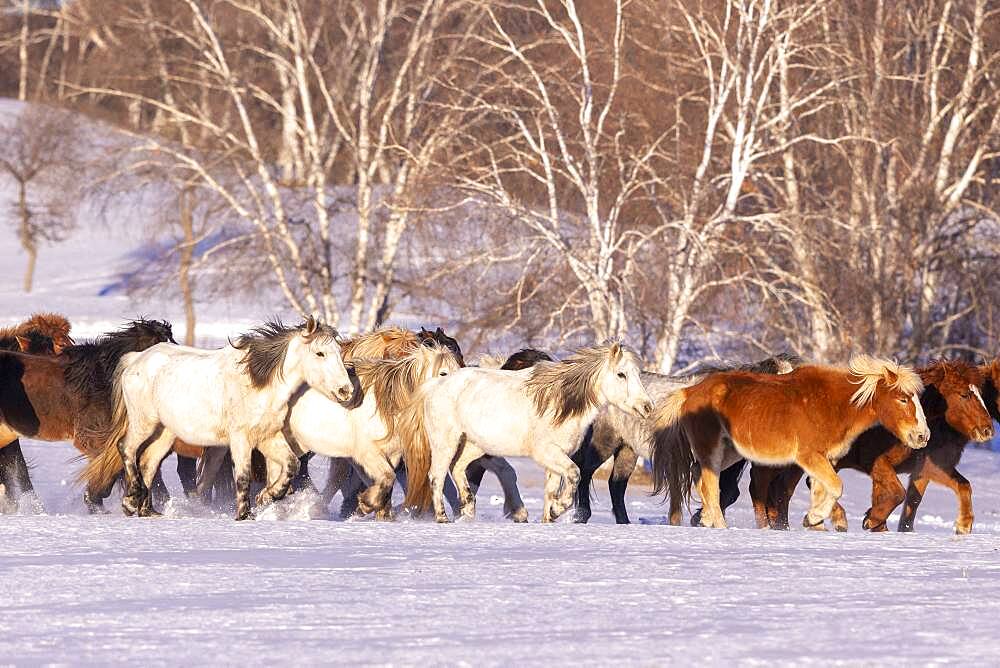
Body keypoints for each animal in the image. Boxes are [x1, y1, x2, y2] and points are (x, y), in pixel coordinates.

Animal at [98, 316, 352, 520]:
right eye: (319, 353)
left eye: (338, 352)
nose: (346, 391)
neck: (259, 384)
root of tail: (135, 359)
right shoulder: (240, 439)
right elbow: (243, 476)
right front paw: (244, 515)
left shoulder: (267, 437)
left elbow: (291, 465)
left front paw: (267, 496)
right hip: (144, 423)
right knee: (127, 448)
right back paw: (131, 501)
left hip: (165, 433)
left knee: (148, 462)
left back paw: (147, 511)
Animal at [282, 342, 460, 520]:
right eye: (443, 373)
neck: (386, 406)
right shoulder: (368, 454)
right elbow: (388, 477)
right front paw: (366, 505)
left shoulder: (387, 456)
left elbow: (385, 484)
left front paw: (380, 513)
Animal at [398, 344, 656, 520]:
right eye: (621, 374)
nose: (648, 407)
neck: (559, 404)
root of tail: (436, 384)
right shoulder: (547, 453)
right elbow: (574, 475)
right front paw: (558, 509)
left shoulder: (557, 457)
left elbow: (551, 490)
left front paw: (549, 516)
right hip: (446, 443)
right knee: (437, 475)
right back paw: (443, 517)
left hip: (474, 445)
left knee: (458, 468)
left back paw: (468, 508)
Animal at [576, 354, 800, 528]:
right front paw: (701, 519)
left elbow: (727, 492)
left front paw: (701, 518)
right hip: (605, 441)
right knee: (586, 472)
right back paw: (581, 515)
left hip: (627, 449)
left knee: (616, 484)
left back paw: (624, 522)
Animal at [752, 358, 992, 536]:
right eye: (965, 394)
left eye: (981, 394)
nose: (988, 430)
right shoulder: (877, 462)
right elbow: (897, 493)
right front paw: (871, 519)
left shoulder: (924, 467)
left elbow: (959, 486)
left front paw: (963, 526)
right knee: (772, 487)